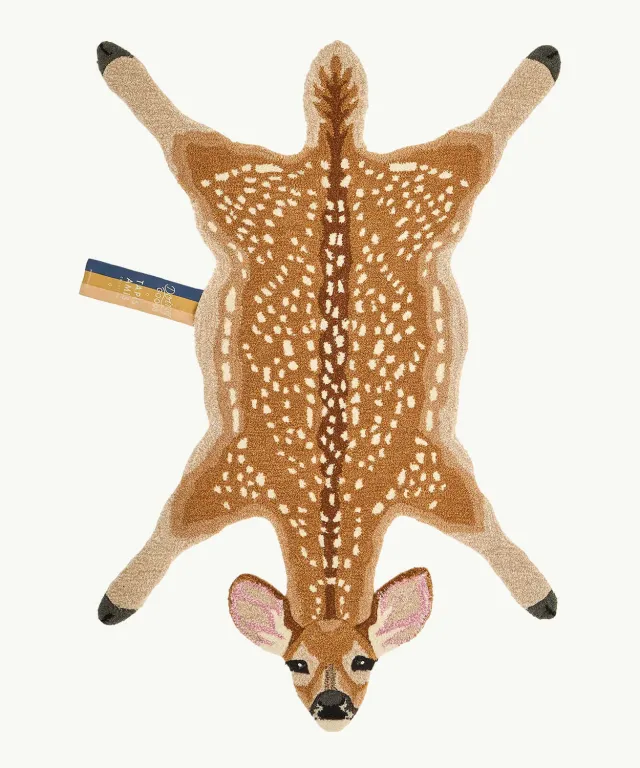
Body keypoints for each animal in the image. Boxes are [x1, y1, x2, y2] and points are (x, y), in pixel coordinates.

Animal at [94, 40, 560, 730]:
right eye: (296, 663)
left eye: (367, 661)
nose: (332, 705)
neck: (331, 504)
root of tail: (335, 150)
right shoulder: (233, 471)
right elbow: (173, 525)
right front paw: (116, 598)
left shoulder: (428, 472)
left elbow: (483, 525)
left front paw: (540, 594)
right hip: (247, 185)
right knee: (190, 141)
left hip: (418, 186)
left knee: (475, 143)